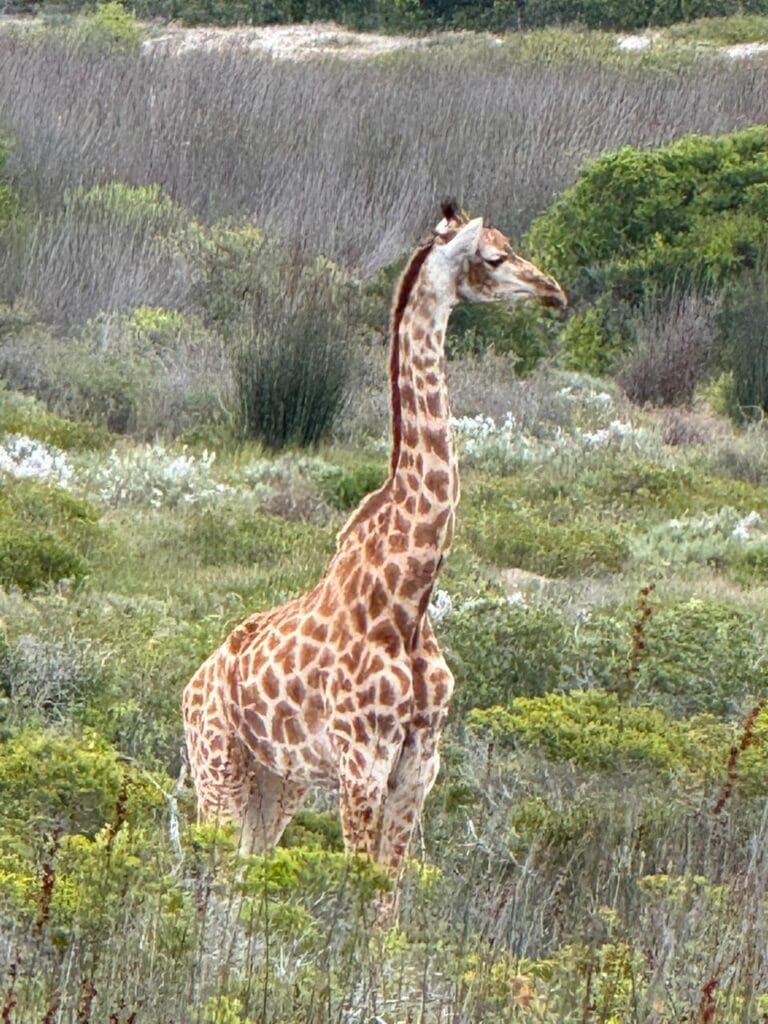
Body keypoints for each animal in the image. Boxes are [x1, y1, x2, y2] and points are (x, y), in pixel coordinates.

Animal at [182, 201, 566, 881]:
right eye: (493, 257)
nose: (555, 292)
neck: (408, 598)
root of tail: (188, 688)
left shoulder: (420, 763)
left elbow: (389, 894)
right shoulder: (362, 761)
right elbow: (361, 889)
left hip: (276, 783)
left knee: (243, 877)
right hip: (217, 768)